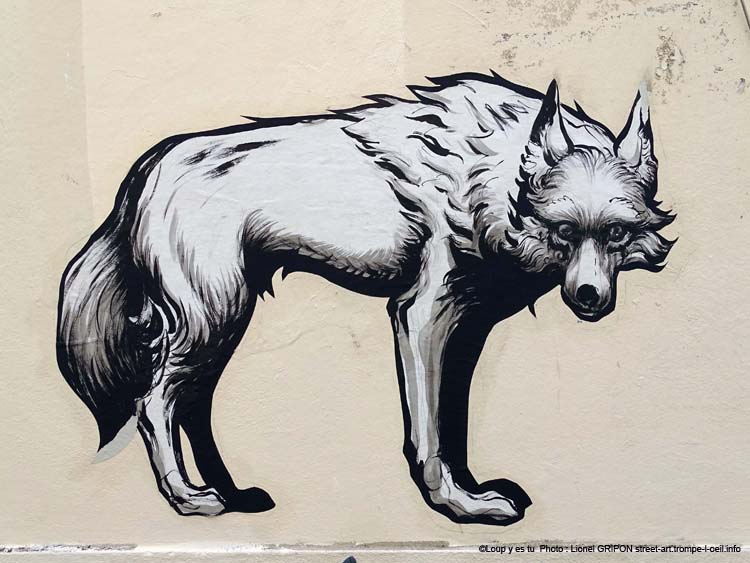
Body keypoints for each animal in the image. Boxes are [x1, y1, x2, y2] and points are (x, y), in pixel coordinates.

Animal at [57, 72, 674, 525]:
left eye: (617, 233)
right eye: (564, 231)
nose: (590, 298)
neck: (489, 176)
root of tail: (146, 170)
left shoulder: (467, 327)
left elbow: (453, 422)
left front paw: (468, 493)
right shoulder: (421, 316)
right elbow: (429, 435)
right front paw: (458, 508)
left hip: (220, 325)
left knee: (191, 404)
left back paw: (230, 494)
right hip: (213, 319)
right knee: (154, 403)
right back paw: (190, 499)